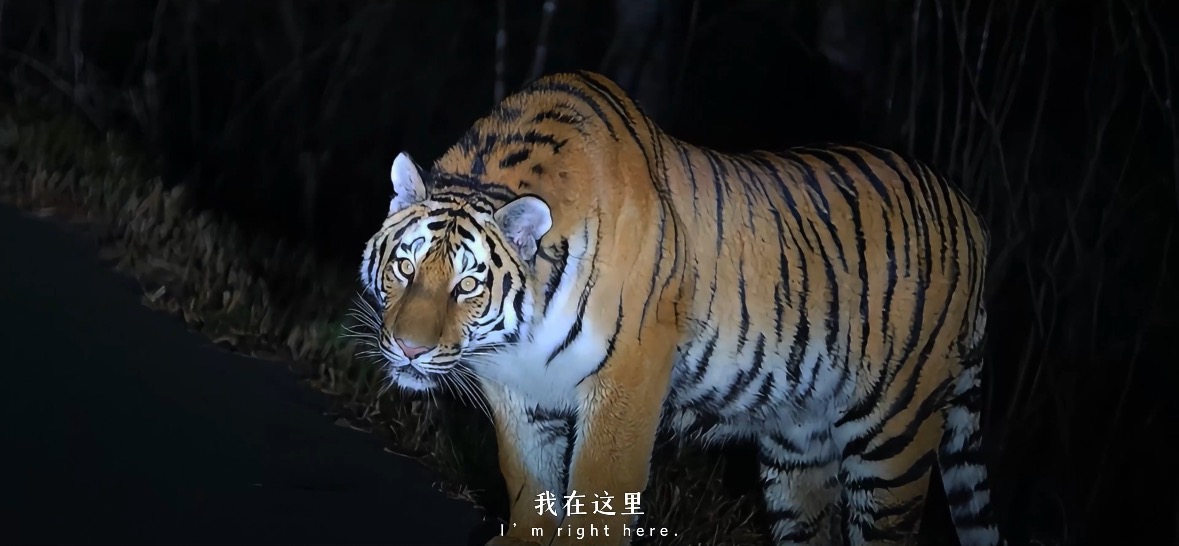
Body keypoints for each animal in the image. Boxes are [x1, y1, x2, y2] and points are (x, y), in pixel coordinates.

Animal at [357, 70, 1001, 546]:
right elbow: (529, 489)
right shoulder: (516, 393)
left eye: (468, 285)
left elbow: (599, 492)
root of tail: (972, 215)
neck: (520, 340)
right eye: (405, 268)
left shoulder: (628, 377)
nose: (409, 348)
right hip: (799, 449)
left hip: (895, 435)